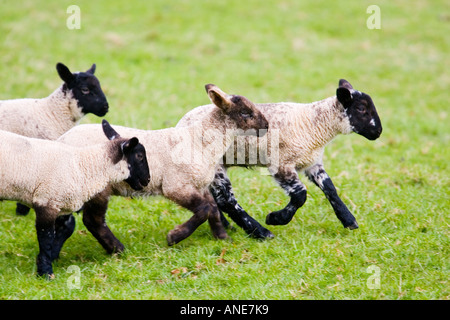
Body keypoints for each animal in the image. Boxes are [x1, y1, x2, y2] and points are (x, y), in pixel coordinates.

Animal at [0, 120, 150, 278]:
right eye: (140, 156)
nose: (147, 180)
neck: (84, 166)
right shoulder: (46, 201)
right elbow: (46, 239)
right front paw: (46, 273)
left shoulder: (62, 203)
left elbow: (65, 228)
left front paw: (51, 258)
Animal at [55, 84, 268, 250]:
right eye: (245, 113)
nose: (266, 125)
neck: (200, 141)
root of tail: (60, 140)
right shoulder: (176, 186)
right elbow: (204, 209)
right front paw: (174, 237)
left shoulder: (199, 185)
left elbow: (213, 209)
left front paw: (222, 237)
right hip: (98, 188)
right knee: (94, 221)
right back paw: (118, 250)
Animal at [176, 79, 384, 238]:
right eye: (361, 108)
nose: (378, 132)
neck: (315, 124)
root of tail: (181, 123)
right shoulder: (281, 163)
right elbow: (300, 195)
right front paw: (276, 218)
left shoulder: (312, 163)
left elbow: (330, 189)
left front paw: (349, 220)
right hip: (214, 165)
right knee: (227, 199)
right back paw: (261, 232)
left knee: (216, 198)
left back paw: (229, 225)